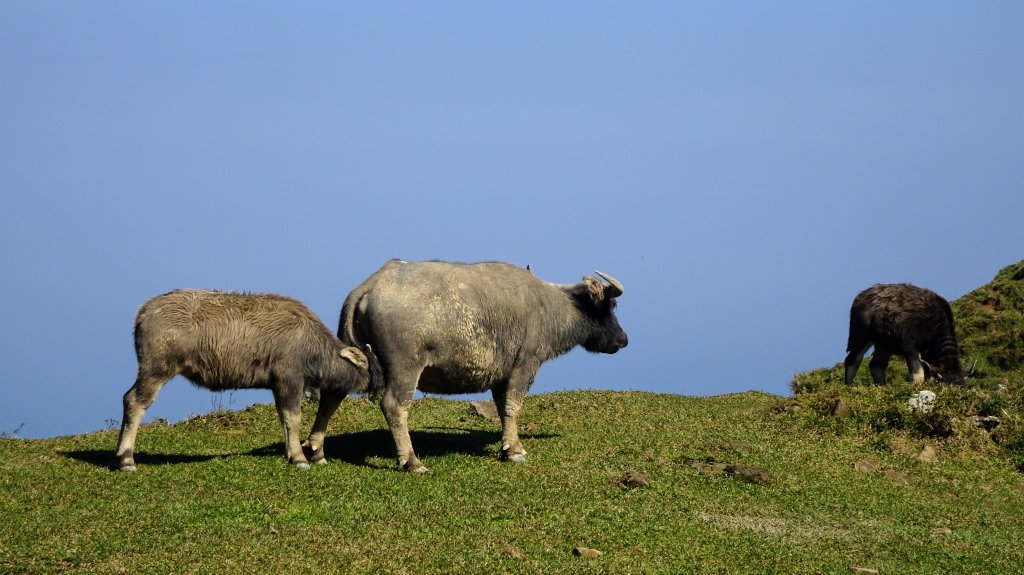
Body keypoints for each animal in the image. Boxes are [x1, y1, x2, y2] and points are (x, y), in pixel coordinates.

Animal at [116, 288, 378, 468]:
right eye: (372, 366)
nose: (380, 385)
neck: (311, 345)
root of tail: (144, 312)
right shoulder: (290, 381)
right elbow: (293, 419)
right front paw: (299, 458)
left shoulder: (278, 386)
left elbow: (284, 419)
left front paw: (290, 452)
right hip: (156, 370)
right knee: (134, 401)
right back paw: (126, 459)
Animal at [339, 259, 626, 470]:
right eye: (611, 304)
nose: (623, 339)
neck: (550, 306)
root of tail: (371, 285)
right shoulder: (525, 364)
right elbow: (513, 406)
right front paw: (515, 451)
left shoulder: (502, 375)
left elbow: (502, 407)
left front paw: (508, 446)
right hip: (405, 368)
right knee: (394, 406)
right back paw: (411, 461)